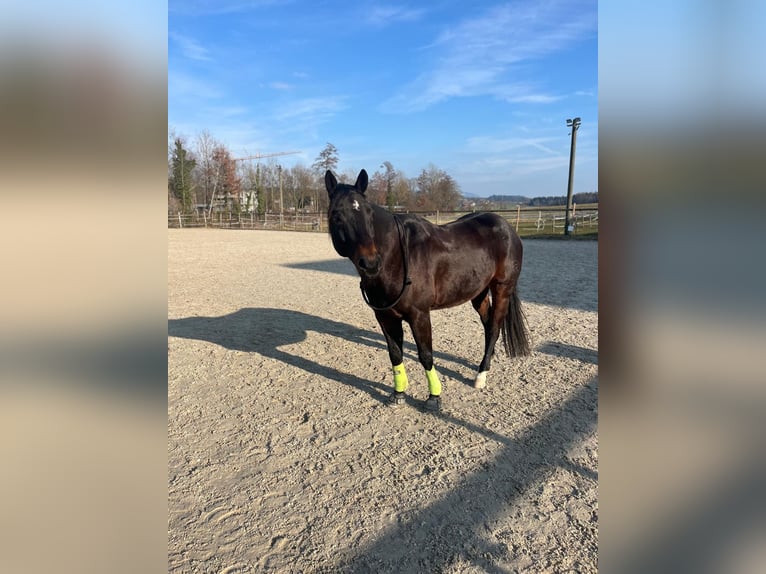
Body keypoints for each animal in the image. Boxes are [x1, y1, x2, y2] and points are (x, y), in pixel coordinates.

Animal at [325, 169, 530, 411]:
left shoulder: (419, 315)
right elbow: (395, 354)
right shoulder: (385, 317)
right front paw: (398, 393)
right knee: (488, 325)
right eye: (337, 215)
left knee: (495, 328)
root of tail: (506, 227)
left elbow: (425, 354)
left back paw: (481, 375)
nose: (371, 262)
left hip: (502, 289)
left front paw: (434, 397)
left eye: (368, 213)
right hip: (478, 292)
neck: (397, 256)